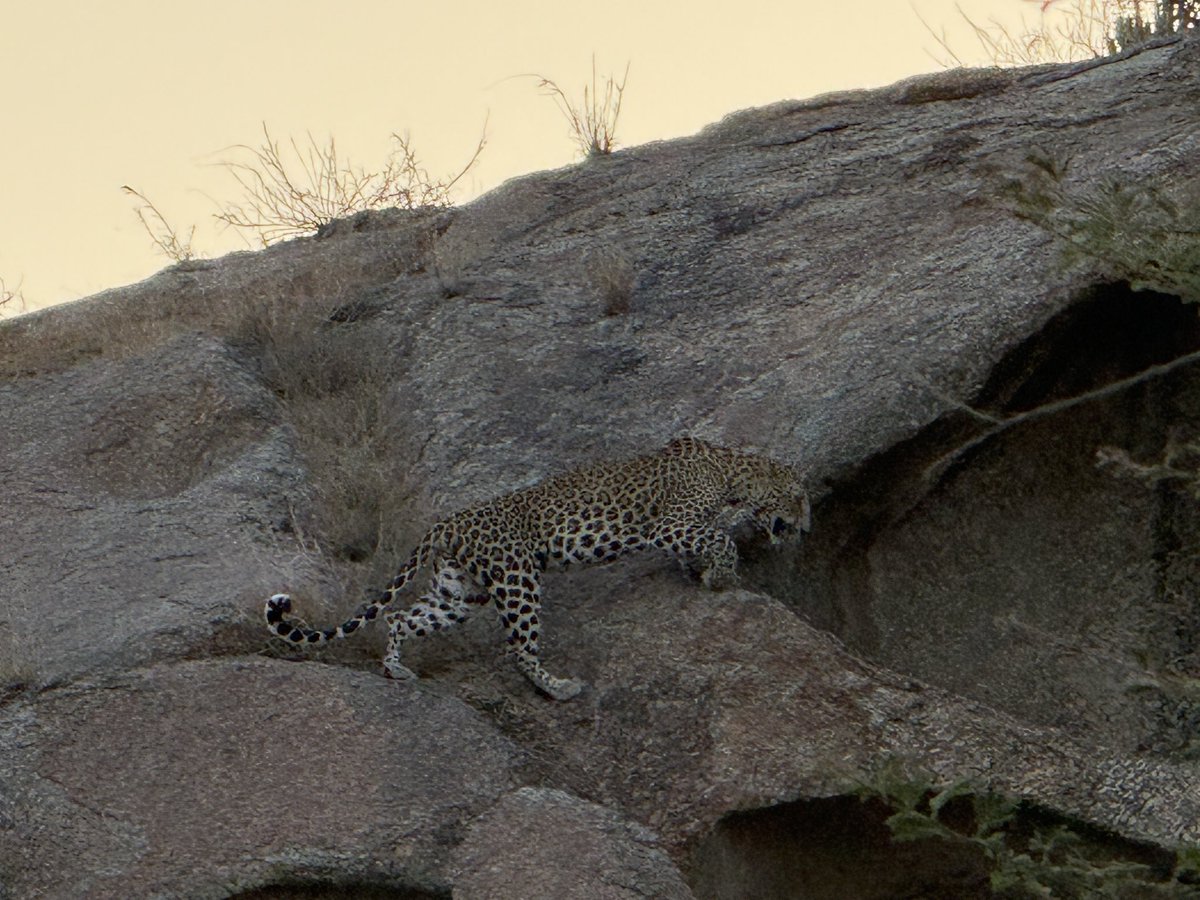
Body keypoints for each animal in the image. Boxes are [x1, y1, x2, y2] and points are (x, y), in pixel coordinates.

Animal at [265, 437, 810, 700]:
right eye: (801, 499)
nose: (805, 532)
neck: (734, 473)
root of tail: (446, 521)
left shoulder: (683, 528)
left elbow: (707, 541)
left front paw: (700, 574)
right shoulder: (671, 524)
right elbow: (721, 540)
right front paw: (722, 578)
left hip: (459, 593)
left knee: (401, 617)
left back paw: (396, 669)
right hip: (517, 577)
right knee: (518, 649)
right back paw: (560, 688)